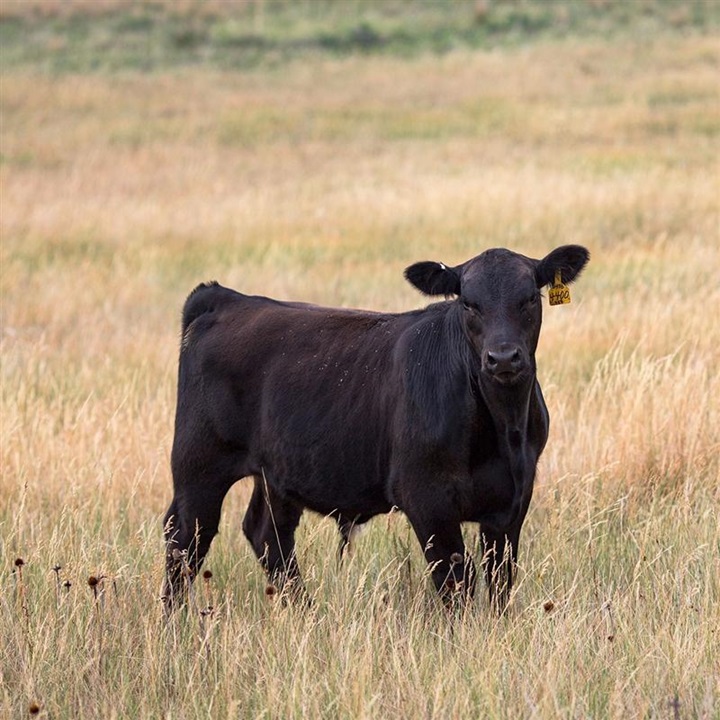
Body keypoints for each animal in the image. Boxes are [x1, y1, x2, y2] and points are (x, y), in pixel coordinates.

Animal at [163, 245, 589, 612]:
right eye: (468, 302)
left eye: (529, 298)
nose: (502, 357)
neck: (504, 427)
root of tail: (226, 298)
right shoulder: (426, 499)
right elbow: (457, 582)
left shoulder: (512, 502)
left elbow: (499, 583)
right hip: (199, 465)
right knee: (184, 537)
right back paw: (174, 621)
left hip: (276, 474)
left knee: (268, 534)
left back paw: (306, 612)